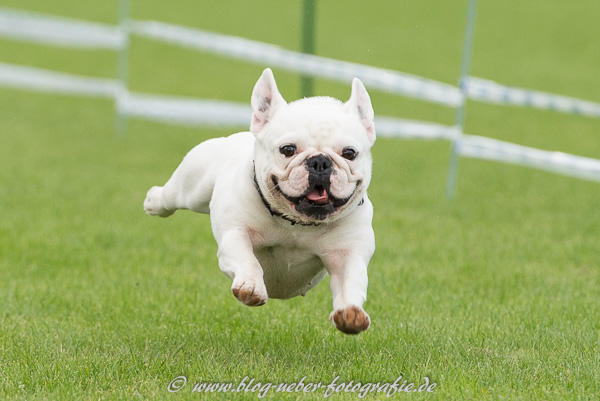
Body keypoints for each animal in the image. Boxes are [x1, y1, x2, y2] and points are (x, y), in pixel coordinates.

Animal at [144, 69, 376, 334]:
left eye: (349, 153)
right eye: (288, 149)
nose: (320, 162)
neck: (297, 223)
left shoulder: (349, 255)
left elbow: (351, 282)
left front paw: (351, 314)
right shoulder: (235, 234)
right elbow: (247, 259)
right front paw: (251, 286)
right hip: (193, 187)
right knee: (172, 197)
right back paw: (153, 200)